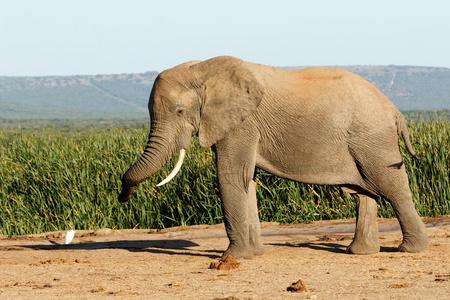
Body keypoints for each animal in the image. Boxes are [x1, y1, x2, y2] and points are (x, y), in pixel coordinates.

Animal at [118, 55, 428, 258]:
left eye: (180, 111)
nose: (121, 197)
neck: (204, 69)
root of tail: (396, 111)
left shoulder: (242, 124)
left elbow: (231, 175)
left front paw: (232, 258)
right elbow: (248, 180)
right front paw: (255, 253)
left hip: (373, 140)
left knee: (392, 185)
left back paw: (410, 249)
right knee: (362, 192)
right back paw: (359, 252)